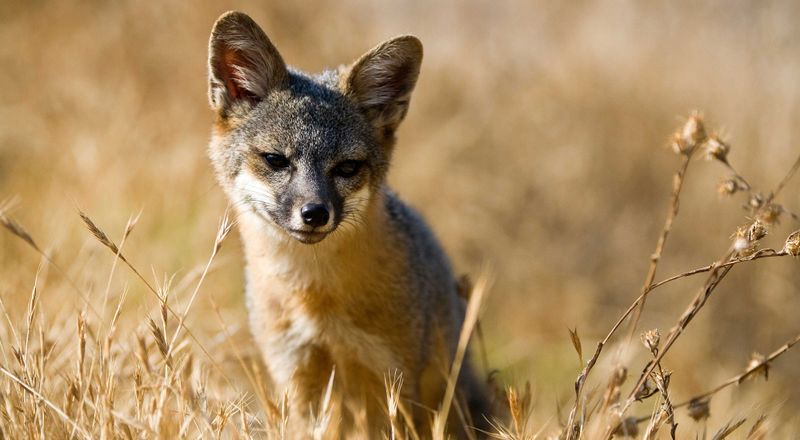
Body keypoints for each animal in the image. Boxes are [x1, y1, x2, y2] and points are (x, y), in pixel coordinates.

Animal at [205, 10, 494, 436]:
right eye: (276, 160)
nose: (314, 213)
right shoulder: (297, 374)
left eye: (346, 168)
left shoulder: (395, 380)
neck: (316, 297)